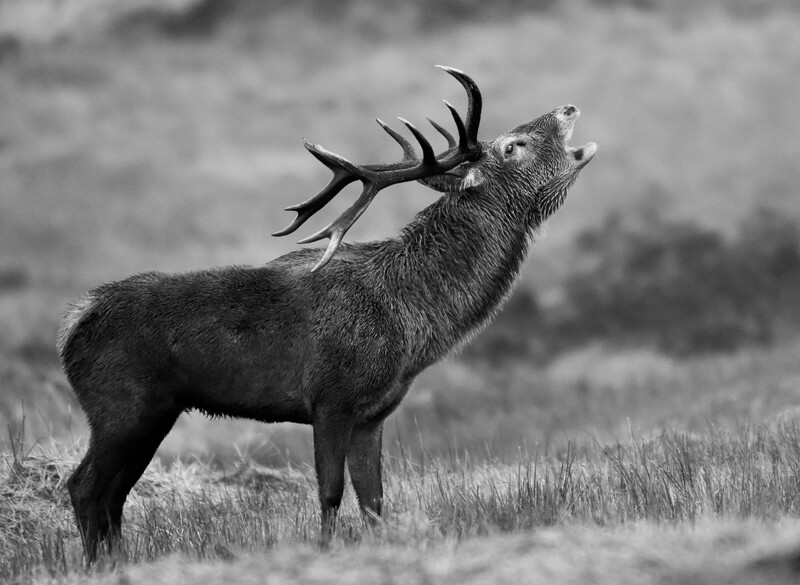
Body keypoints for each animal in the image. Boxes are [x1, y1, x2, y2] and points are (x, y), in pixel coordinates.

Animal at [57, 66, 597, 561]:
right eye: (512, 146)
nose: (568, 107)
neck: (411, 321)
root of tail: (72, 325)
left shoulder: (373, 413)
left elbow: (374, 499)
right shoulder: (330, 398)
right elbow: (331, 492)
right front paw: (322, 551)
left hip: (155, 412)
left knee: (112, 495)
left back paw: (116, 561)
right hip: (120, 406)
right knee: (85, 487)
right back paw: (98, 564)